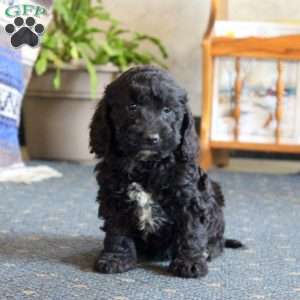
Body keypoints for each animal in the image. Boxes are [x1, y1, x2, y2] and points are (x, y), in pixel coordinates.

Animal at [89, 64, 244, 278]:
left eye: (167, 110)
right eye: (132, 107)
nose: (151, 137)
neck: (147, 165)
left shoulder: (190, 199)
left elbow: (191, 231)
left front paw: (190, 263)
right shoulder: (114, 197)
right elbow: (117, 230)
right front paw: (115, 258)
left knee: (217, 239)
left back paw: (209, 250)